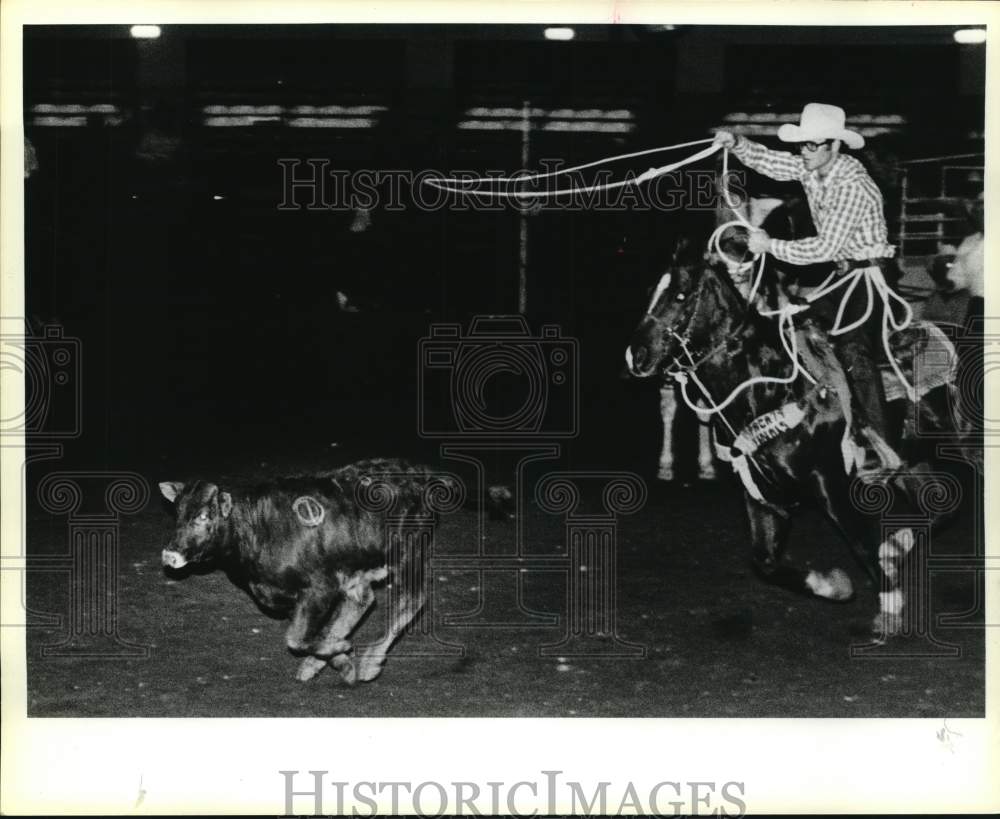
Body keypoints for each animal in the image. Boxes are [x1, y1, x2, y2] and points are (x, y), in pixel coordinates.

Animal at [160, 458, 460, 684]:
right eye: (178, 513)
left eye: (203, 516)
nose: (170, 555)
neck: (255, 529)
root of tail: (421, 472)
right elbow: (305, 635)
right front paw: (339, 660)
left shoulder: (320, 587)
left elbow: (295, 638)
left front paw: (343, 655)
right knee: (362, 601)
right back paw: (320, 664)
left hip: (408, 550)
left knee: (411, 599)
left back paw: (369, 663)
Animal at [624, 237, 968, 640]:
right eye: (651, 291)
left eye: (680, 295)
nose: (635, 356)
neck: (770, 387)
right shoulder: (761, 494)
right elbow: (765, 561)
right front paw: (832, 585)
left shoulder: (829, 480)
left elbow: (859, 542)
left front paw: (890, 607)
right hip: (914, 462)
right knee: (942, 508)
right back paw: (895, 550)